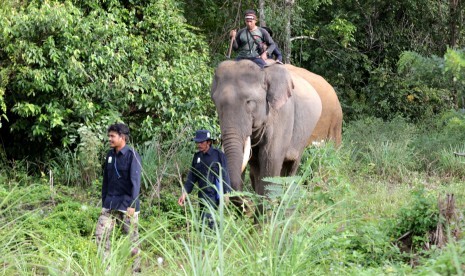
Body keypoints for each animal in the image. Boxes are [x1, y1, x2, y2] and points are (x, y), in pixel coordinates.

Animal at [210, 59, 322, 196]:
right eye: (216, 103)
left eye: (249, 102)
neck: (263, 71)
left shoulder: (282, 114)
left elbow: (271, 158)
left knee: (291, 166)